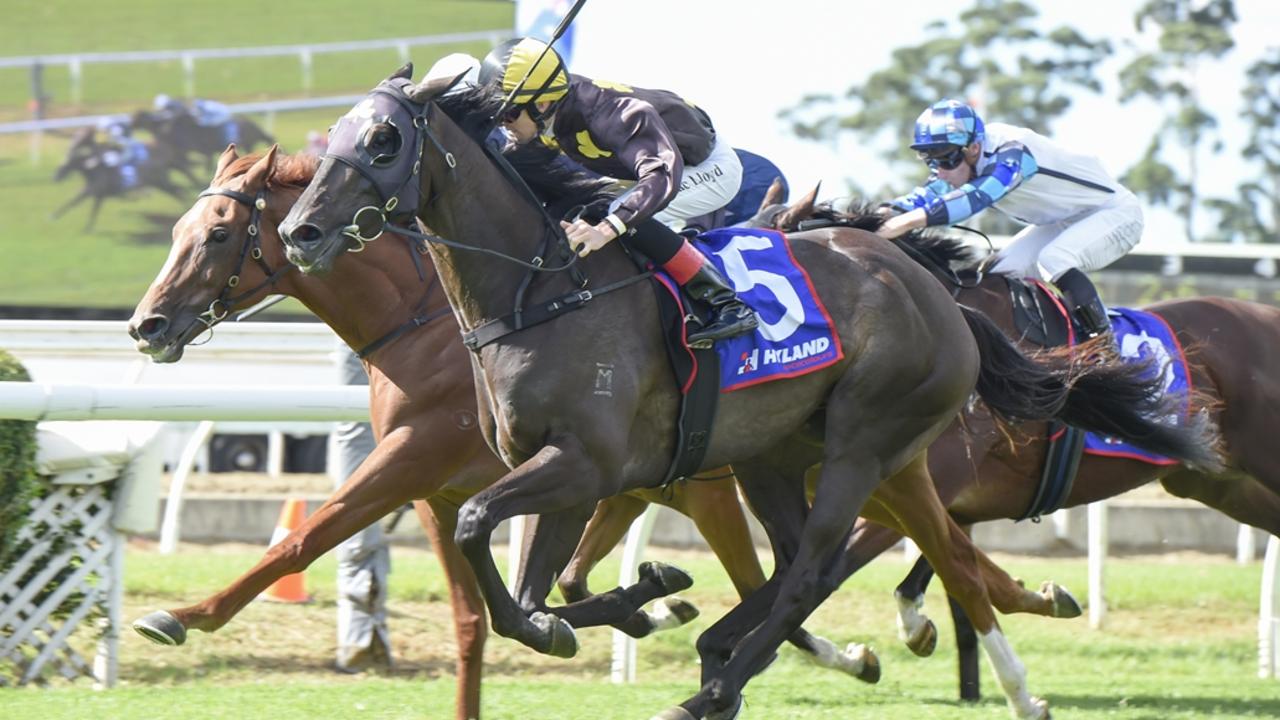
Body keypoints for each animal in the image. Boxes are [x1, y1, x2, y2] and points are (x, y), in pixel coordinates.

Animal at [122, 146, 870, 717]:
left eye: (219, 233)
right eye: (178, 229)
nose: (145, 324)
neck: (429, 321)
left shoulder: (414, 457)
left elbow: (305, 537)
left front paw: (183, 617)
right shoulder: (443, 491)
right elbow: (474, 620)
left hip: (720, 480)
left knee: (783, 570)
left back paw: (829, 653)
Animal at [272, 64, 1218, 712]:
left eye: (384, 141)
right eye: (333, 136)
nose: (301, 232)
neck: (541, 292)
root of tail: (935, 288)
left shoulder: (584, 465)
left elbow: (476, 527)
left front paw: (641, 602)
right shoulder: (564, 472)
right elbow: (531, 597)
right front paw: (640, 595)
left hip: (865, 441)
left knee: (817, 565)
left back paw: (715, 689)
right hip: (775, 454)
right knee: (804, 559)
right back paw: (723, 643)